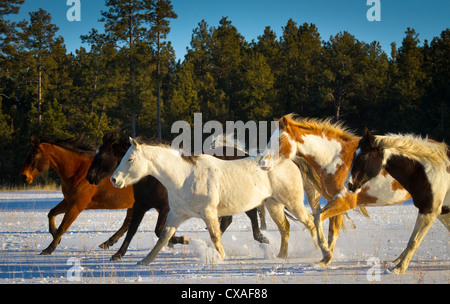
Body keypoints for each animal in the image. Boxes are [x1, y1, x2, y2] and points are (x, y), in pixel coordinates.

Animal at [19, 136, 186, 254]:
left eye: (34, 155)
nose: (24, 177)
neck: (77, 173)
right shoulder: (69, 201)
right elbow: (51, 214)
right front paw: (55, 238)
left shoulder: (77, 205)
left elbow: (63, 226)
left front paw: (49, 249)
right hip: (136, 205)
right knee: (128, 224)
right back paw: (108, 243)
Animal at [86, 131, 266, 262]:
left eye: (101, 155)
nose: (90, 177)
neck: (153, 178)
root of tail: (245, 154)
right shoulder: (141, 205)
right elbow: (131, 229)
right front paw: (117, 252)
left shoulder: (164, 208)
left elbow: (158, 230)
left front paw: (181, 240)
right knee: (229, 220)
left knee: (250, 214)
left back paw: (260, 238)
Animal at [258, 114, 414, 266]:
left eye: (279, 138)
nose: (262, 162)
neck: (336, 160)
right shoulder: (335, 201)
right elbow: (332, 231)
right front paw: (326, 258)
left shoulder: (344, 201)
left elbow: (318, 220)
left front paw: (325, 253)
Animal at [346, 128, 448, 274]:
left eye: (363, 157)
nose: (349, 185)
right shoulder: (440, 212)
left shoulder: (429, 211)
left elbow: (413, 241)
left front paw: (399, 268)